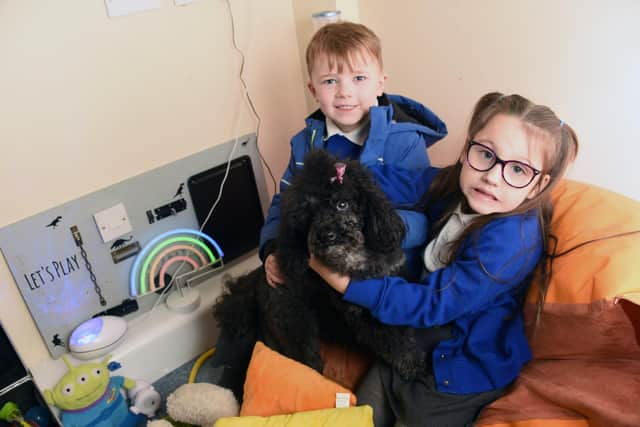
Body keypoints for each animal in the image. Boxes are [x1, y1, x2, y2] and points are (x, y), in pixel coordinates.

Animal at [212, 150, 442, 382]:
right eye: (308, 212)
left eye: (342, 204)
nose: (326, 235)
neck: (355, 257)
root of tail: (256, 284)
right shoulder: (363, 311)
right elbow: (394, 344)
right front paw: (416, 368)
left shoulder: (391, 285)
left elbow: (401, 326)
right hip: (295, 323)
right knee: (304, 362)